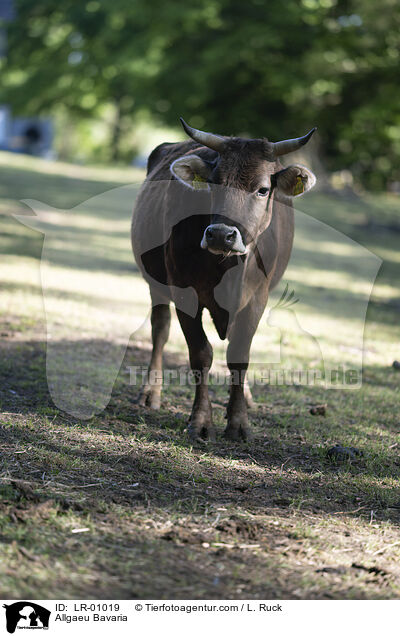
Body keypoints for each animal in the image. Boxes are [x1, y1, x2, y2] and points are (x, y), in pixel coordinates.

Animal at [131, 117, 316, 440]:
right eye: (214, 182)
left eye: (263, 190)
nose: (220, 234)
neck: (228, 267)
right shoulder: (185, 293)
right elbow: (201, 354)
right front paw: (201, 420)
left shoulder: (257, 298)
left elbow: (239, 355)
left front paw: (239, 420)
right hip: (157, 285)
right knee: (160, 330)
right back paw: (150, 392)